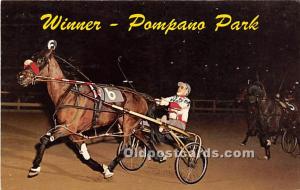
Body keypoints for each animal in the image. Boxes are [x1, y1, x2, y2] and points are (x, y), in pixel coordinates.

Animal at [16, 40, 162, 179]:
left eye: (40, 60)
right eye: (31, 58)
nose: (20, 76)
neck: (68, 94)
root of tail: (141, 96)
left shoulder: (68, 127)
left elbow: (45, 140)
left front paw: (35, 167)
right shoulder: (73, 132)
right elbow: (84, 154)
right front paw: (101, 167)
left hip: (128, 124)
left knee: (126, 146)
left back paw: (111, 168)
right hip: (132, 125)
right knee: (146, 139)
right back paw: (158, 156)